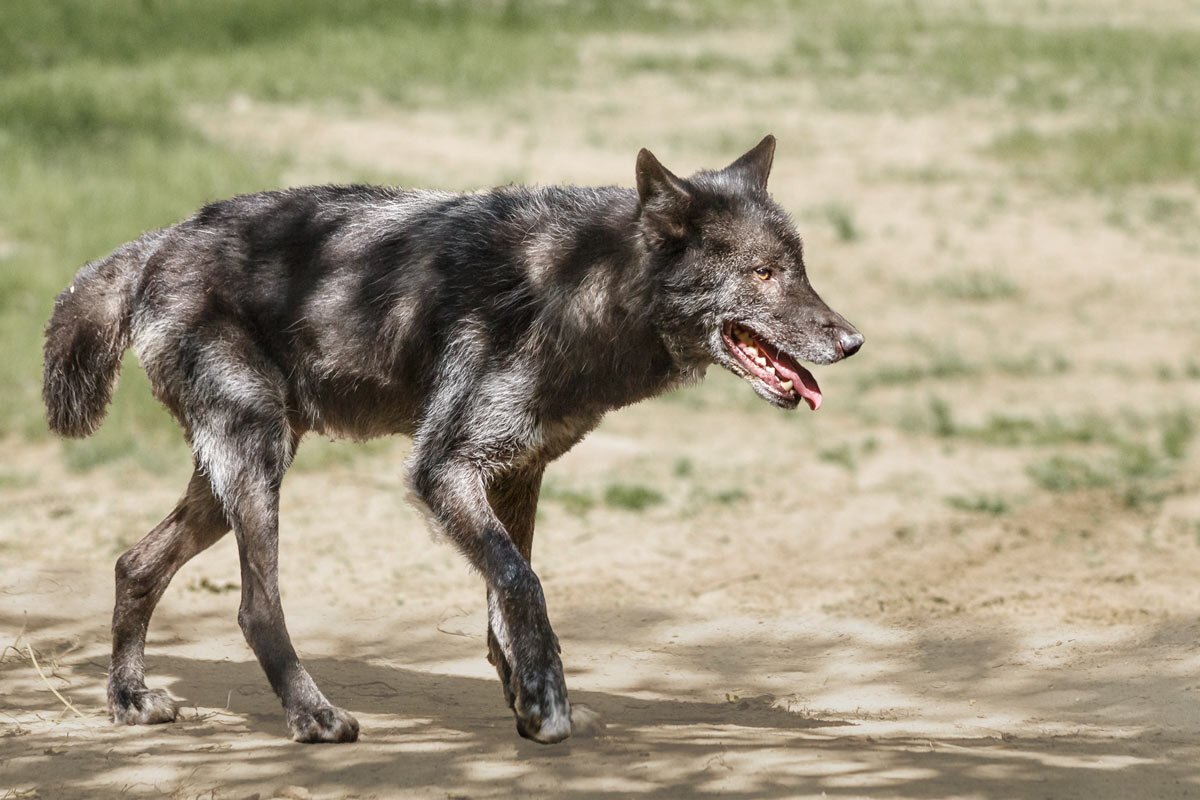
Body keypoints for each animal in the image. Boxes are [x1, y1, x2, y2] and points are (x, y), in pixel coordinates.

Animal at [42, 135, 862, 744]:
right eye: (764, 273)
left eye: (802, 270)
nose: (852, 341)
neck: (575, 285)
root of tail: (155, 243)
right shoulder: (442, 470)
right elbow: (523, 585)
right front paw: (546, 705)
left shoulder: (517, 470)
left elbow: (507, 595)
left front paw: (528, 697)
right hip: (257, 461)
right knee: (255, 607)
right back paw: (313, 717)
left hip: (229, 480)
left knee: (135, 564)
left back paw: (129, 700)